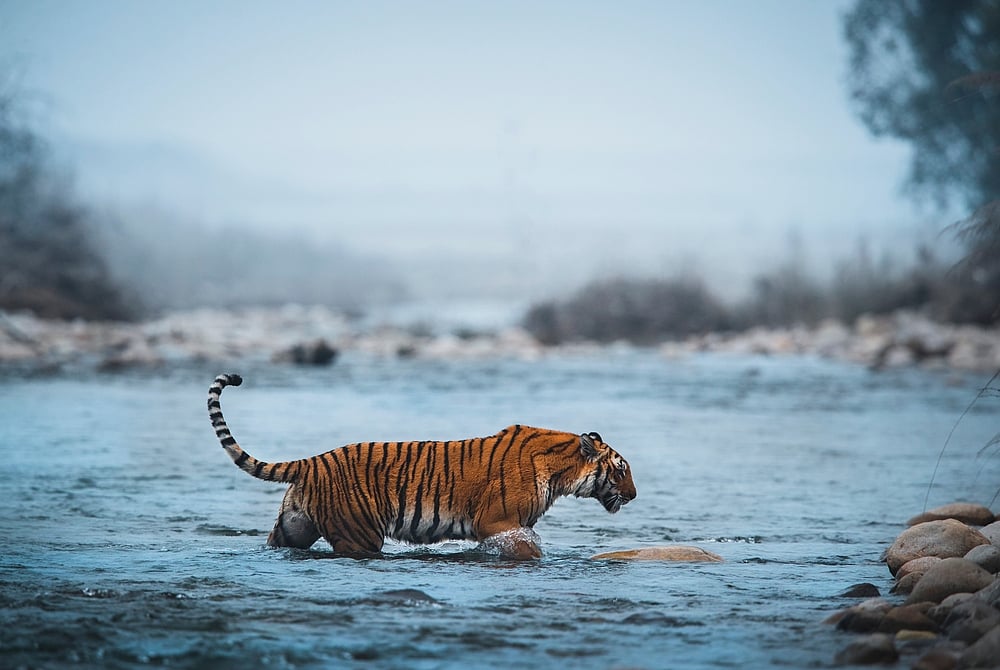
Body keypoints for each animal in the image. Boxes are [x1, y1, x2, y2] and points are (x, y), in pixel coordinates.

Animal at [207, 373, 636, 559]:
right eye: (620, 470)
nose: (633, 496)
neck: (561, 472)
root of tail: (312, 462)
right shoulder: (497, 522)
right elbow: (526, 550)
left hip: (293, 526)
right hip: (360, 534)